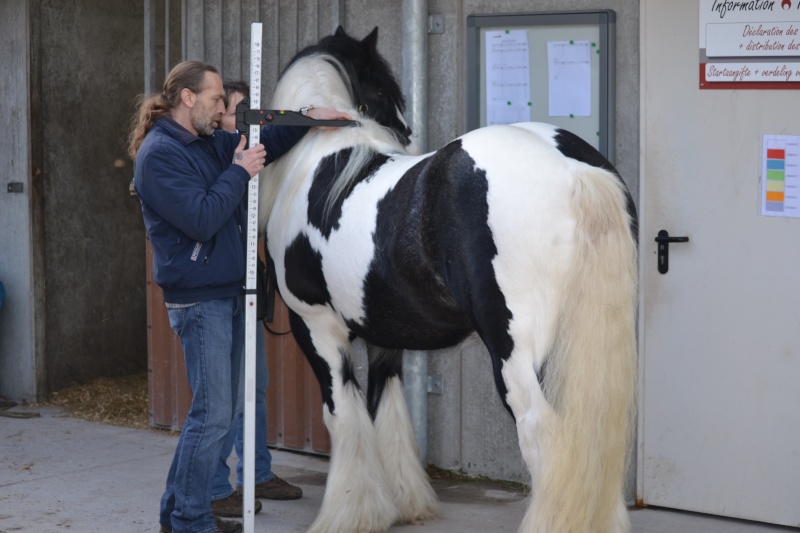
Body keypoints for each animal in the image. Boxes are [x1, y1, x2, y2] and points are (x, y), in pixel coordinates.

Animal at [260, 27, 636, 528]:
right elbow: (386, 410)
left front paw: (352, 512)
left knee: (546, 436)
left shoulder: (316, 327)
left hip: (516, 354)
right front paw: (404, 503)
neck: (318, 166)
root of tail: (574, 169)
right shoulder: (385, 337)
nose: (405, 136)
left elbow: (344, 417)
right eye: (384, 92)